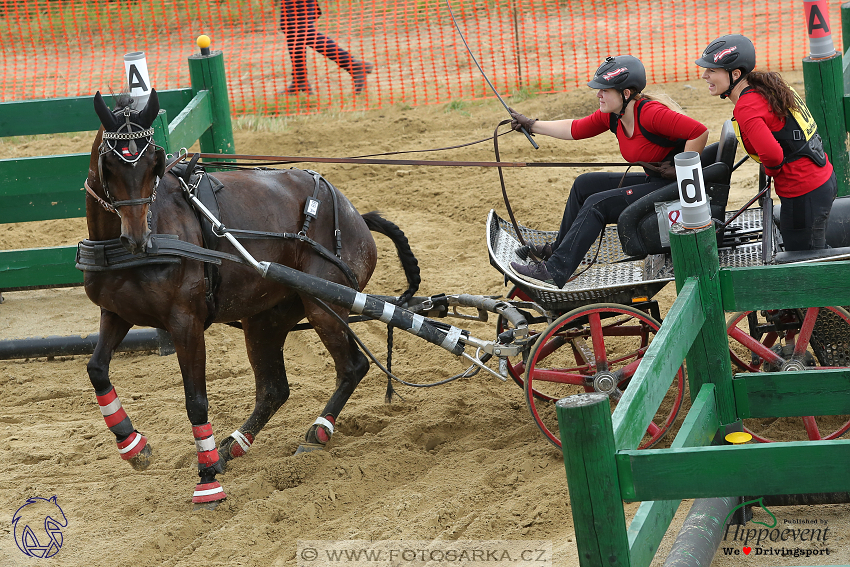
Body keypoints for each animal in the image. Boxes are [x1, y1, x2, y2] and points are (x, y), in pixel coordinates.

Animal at [81, 90, 420, 506]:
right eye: (110, 164)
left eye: (153, 163)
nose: (136, 238)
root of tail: (355, 215)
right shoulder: (115, 313)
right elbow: (97, 370)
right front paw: (133, 444)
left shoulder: (185, 323)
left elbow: (196, 400)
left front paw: (207, 479)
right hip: (265, 319)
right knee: (274, 389)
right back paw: (231, 447)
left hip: (325, 306)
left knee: (353, 366)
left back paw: (317, 432)